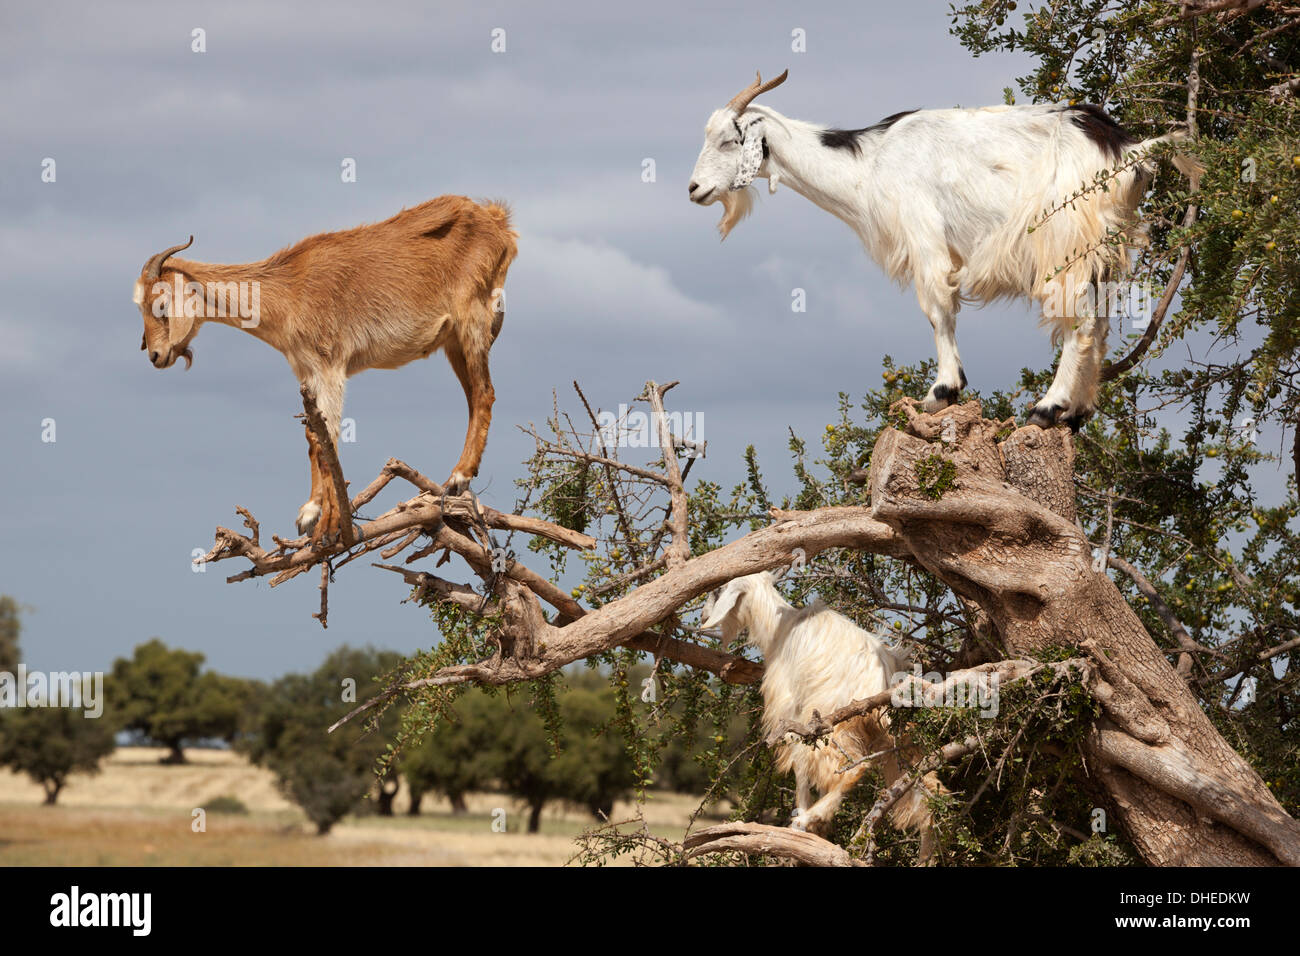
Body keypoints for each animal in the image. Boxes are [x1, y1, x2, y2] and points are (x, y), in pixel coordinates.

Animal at [686, 72, 1201, 431]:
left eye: (729, 140)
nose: (694, 189)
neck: (870, 164)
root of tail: (1128, 149)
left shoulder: (925, 237)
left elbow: (937, 310)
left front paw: (942, 391)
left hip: (1066, 242)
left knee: (1081, 323)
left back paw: (1047, 407)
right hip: (1103, 249)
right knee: (1100, 321)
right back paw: (1076, 412)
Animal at [707, 567, 941, 858]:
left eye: (719, 590)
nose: (703, 616)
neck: (780, 627)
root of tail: (881, 679)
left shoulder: (792, 707)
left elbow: (799, 763)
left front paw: (802, 817)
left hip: (834, 721)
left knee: (855, 767)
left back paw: (811, 817)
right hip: (895, 736)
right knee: (928, 790)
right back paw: (925, 857)